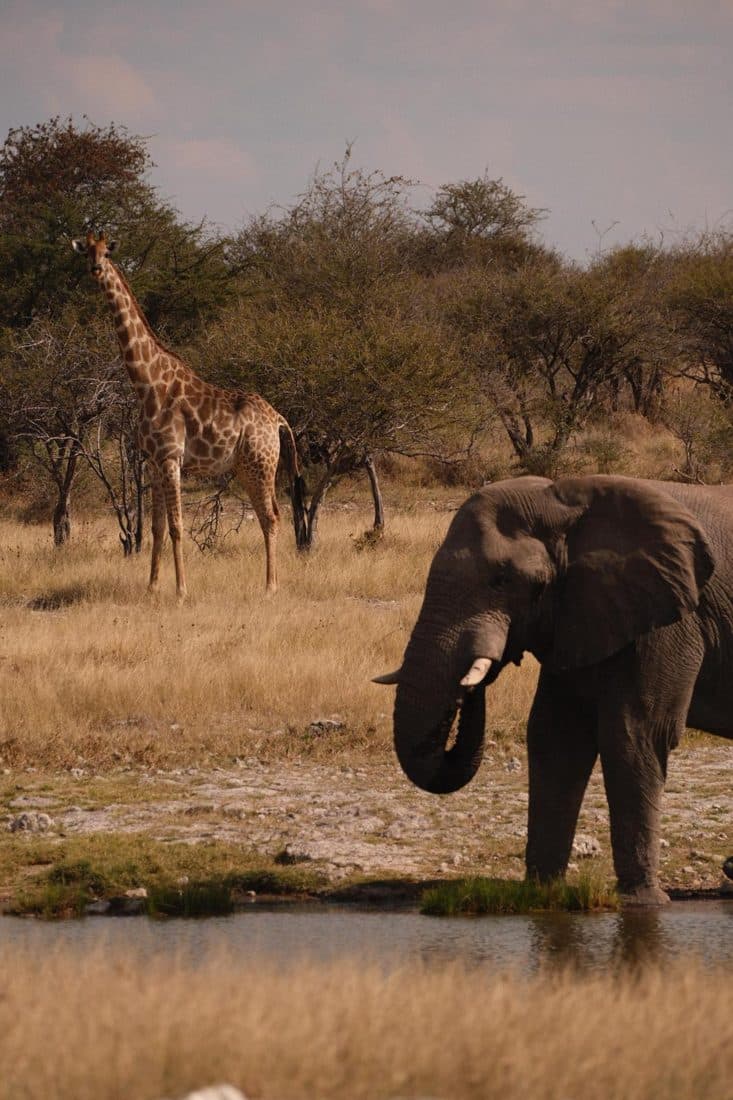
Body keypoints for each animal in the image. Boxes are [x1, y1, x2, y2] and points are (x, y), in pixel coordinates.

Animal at [72, 231, 307, 598]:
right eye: (87, 253)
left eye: (107, 252)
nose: (96, 269)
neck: (148, 384)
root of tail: (279, 420)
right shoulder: (152, 462)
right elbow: (156, 528)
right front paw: (152, 587)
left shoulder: (171, 458)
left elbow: (177, 526)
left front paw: (181, 591)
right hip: (247, 467)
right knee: (274, 515)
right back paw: (271, 583)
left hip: (260, 465)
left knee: (270, 517)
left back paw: (270, 587)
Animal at [374, 474, 733, 905]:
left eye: (502, 580)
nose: (478, 675)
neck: (567, 500)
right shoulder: (581, 613)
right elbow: (555, 735)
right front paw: (542, 894)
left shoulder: (673, 620)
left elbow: (635, 734)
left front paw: (643, 903)